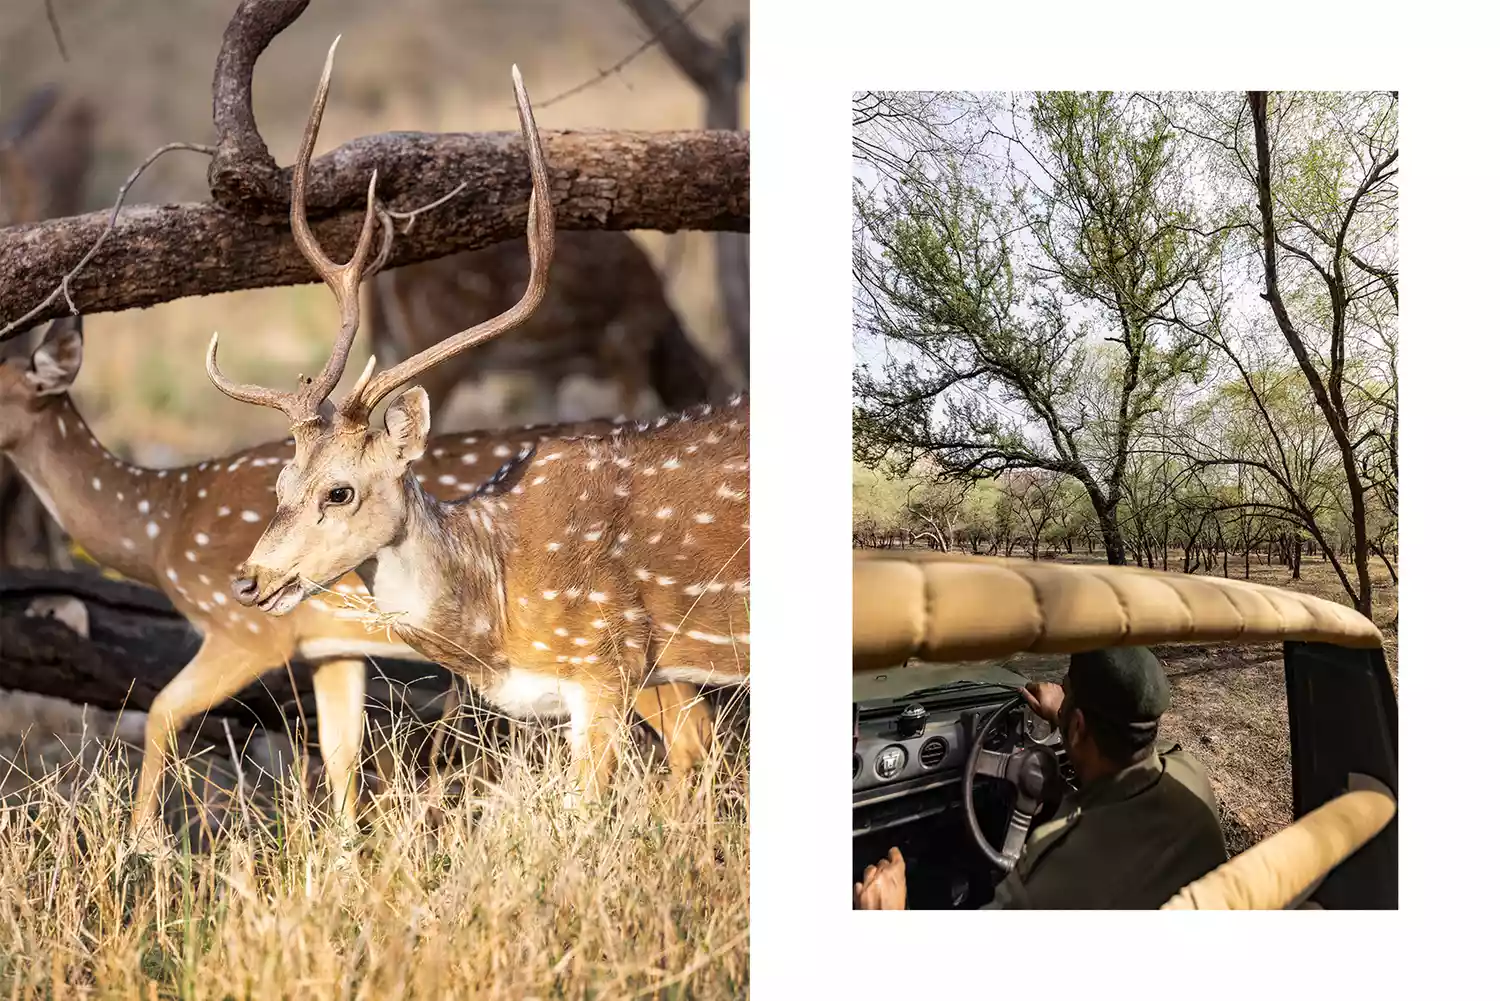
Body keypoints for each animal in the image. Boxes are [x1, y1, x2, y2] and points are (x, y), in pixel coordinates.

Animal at [0, 311, 718, 842]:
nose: (249, 581)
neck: (159, 527)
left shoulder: (245, 632)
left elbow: (160, 712)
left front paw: (141, 846)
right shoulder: (329, 645)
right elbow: (341, 753)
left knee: (690, 731)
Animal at [211, 44, 749, 804]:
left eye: (340, 491)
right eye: (281, 483)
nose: (250, 581)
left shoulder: (603, 654)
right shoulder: (649, 668)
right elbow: (695, 754)